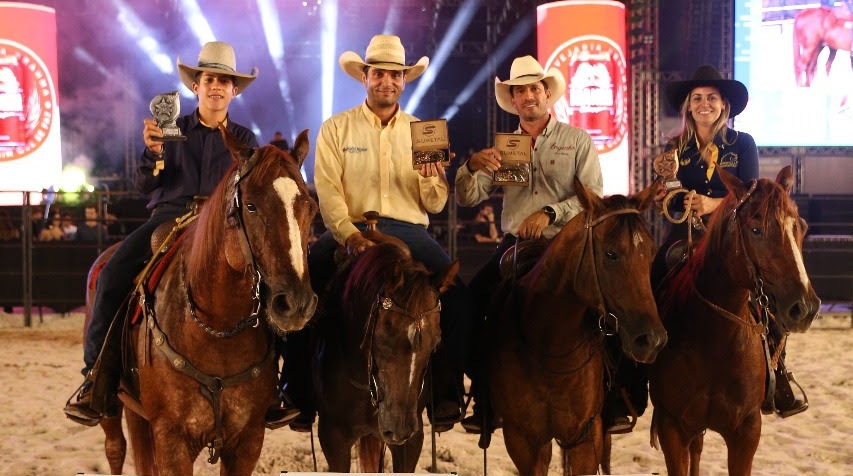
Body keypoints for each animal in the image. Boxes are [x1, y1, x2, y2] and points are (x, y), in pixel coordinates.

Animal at [84, 128, 316, 474]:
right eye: (250, 206)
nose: (296, 303)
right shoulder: (173, 440)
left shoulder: (248, 441)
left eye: (310, 208)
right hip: (112, 408)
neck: (217, 330)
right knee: (115, 448)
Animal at [486, 179, 664, 476]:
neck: (550, 345)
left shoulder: (585, 436)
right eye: (611, 254)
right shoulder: (524, 441)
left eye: (651, 254)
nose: (651, 340)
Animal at [648, 165, 824, 476]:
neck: (716, 342)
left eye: (801, 227)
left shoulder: (747, 431)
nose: (805, 308)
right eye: (755, 229)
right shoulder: (672, 429)